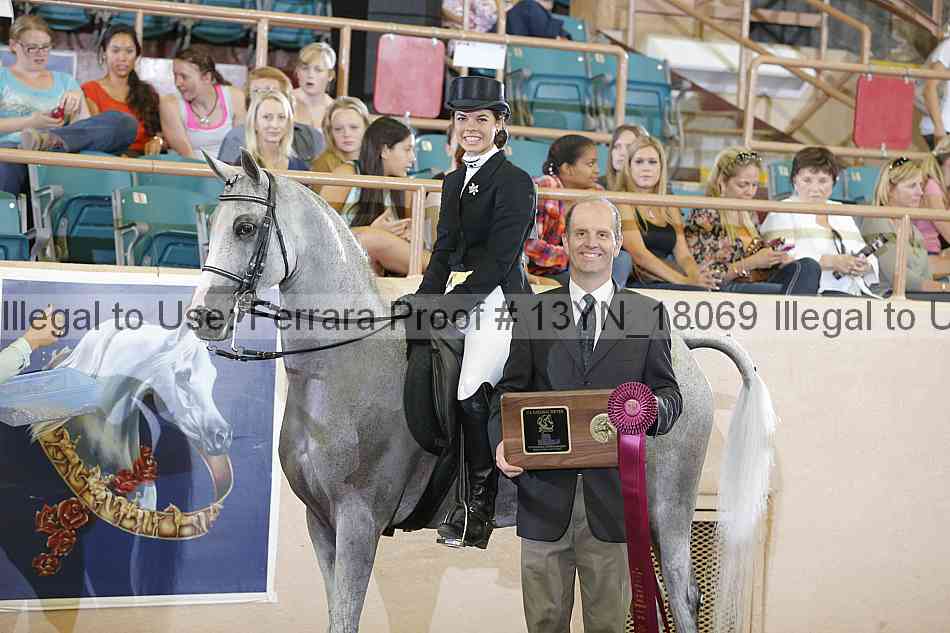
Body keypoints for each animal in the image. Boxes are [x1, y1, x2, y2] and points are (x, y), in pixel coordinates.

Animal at [189, 150, 775, 633]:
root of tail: (679, 355)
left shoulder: (358, 520)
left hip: (669, 506)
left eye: (245, 227)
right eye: (210, 227)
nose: (202, 317)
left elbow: (346, 618)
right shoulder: (321, 523)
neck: (342, 366)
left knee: (681, 593)